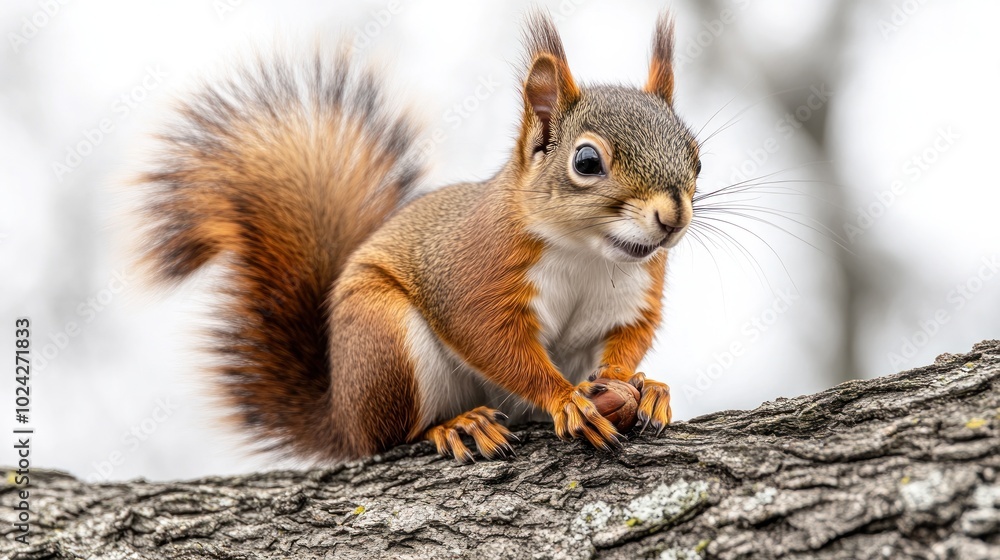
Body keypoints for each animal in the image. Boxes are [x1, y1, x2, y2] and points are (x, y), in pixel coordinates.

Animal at [136, 12, 700, 463]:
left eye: (696, 155)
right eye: (586, 161)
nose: (672, 218)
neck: (589, 254)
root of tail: (343, 416)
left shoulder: (634, 295)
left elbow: (629, 340)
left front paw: (645, 387)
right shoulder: (476, 274)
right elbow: (493, 341)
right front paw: (565, 399)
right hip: (384, 338)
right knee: (393, 436)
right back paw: (457, 425)